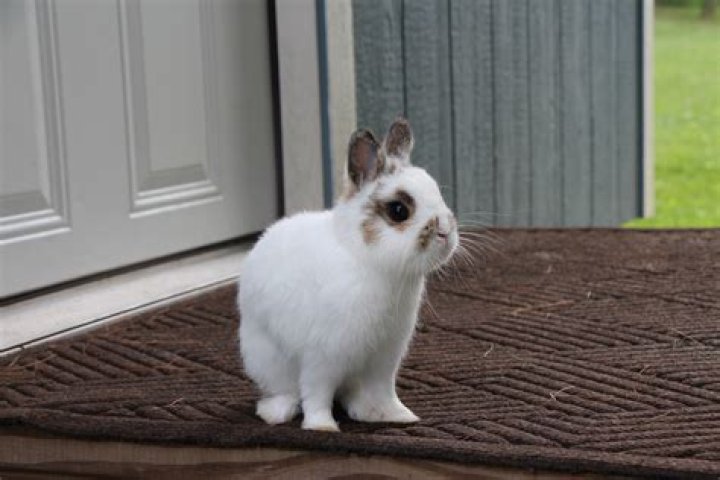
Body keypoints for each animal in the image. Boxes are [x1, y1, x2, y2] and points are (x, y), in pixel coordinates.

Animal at [237, 117, 458, 432]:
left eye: (436, 190)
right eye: (399, 210)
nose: (446, 232)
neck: (369, 262)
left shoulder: (385, 359)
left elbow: (385, 391)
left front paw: (399, 415)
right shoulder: (322, 356)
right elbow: (316, 393)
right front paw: (322, 426)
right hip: (270, 360)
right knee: (289, 392)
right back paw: (275, 413)